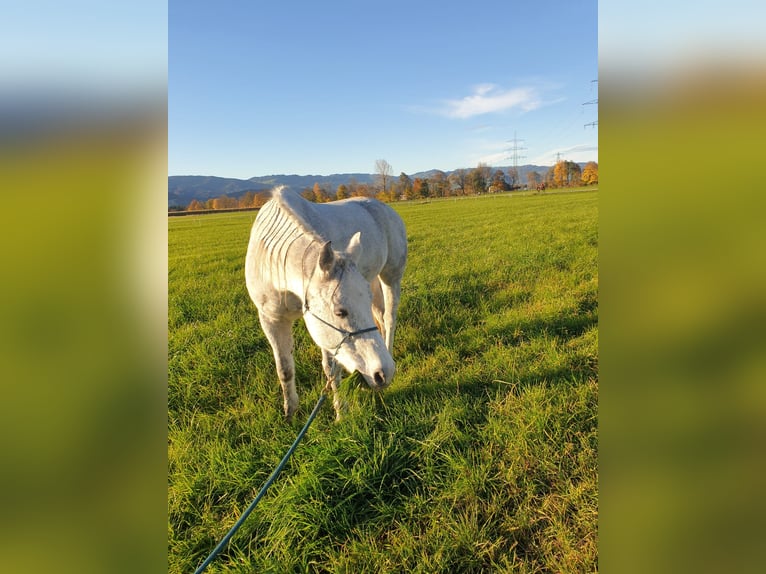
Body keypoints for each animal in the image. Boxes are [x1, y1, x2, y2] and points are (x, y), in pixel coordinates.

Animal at [245, 186, 407, 420]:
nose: (383, 373)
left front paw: (340, 413)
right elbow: (284, 369)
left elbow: (332, 370)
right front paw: (290, 413)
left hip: (391, 277)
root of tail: (385, 207)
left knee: (389, 319)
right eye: (340, 312)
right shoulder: (272, 319)